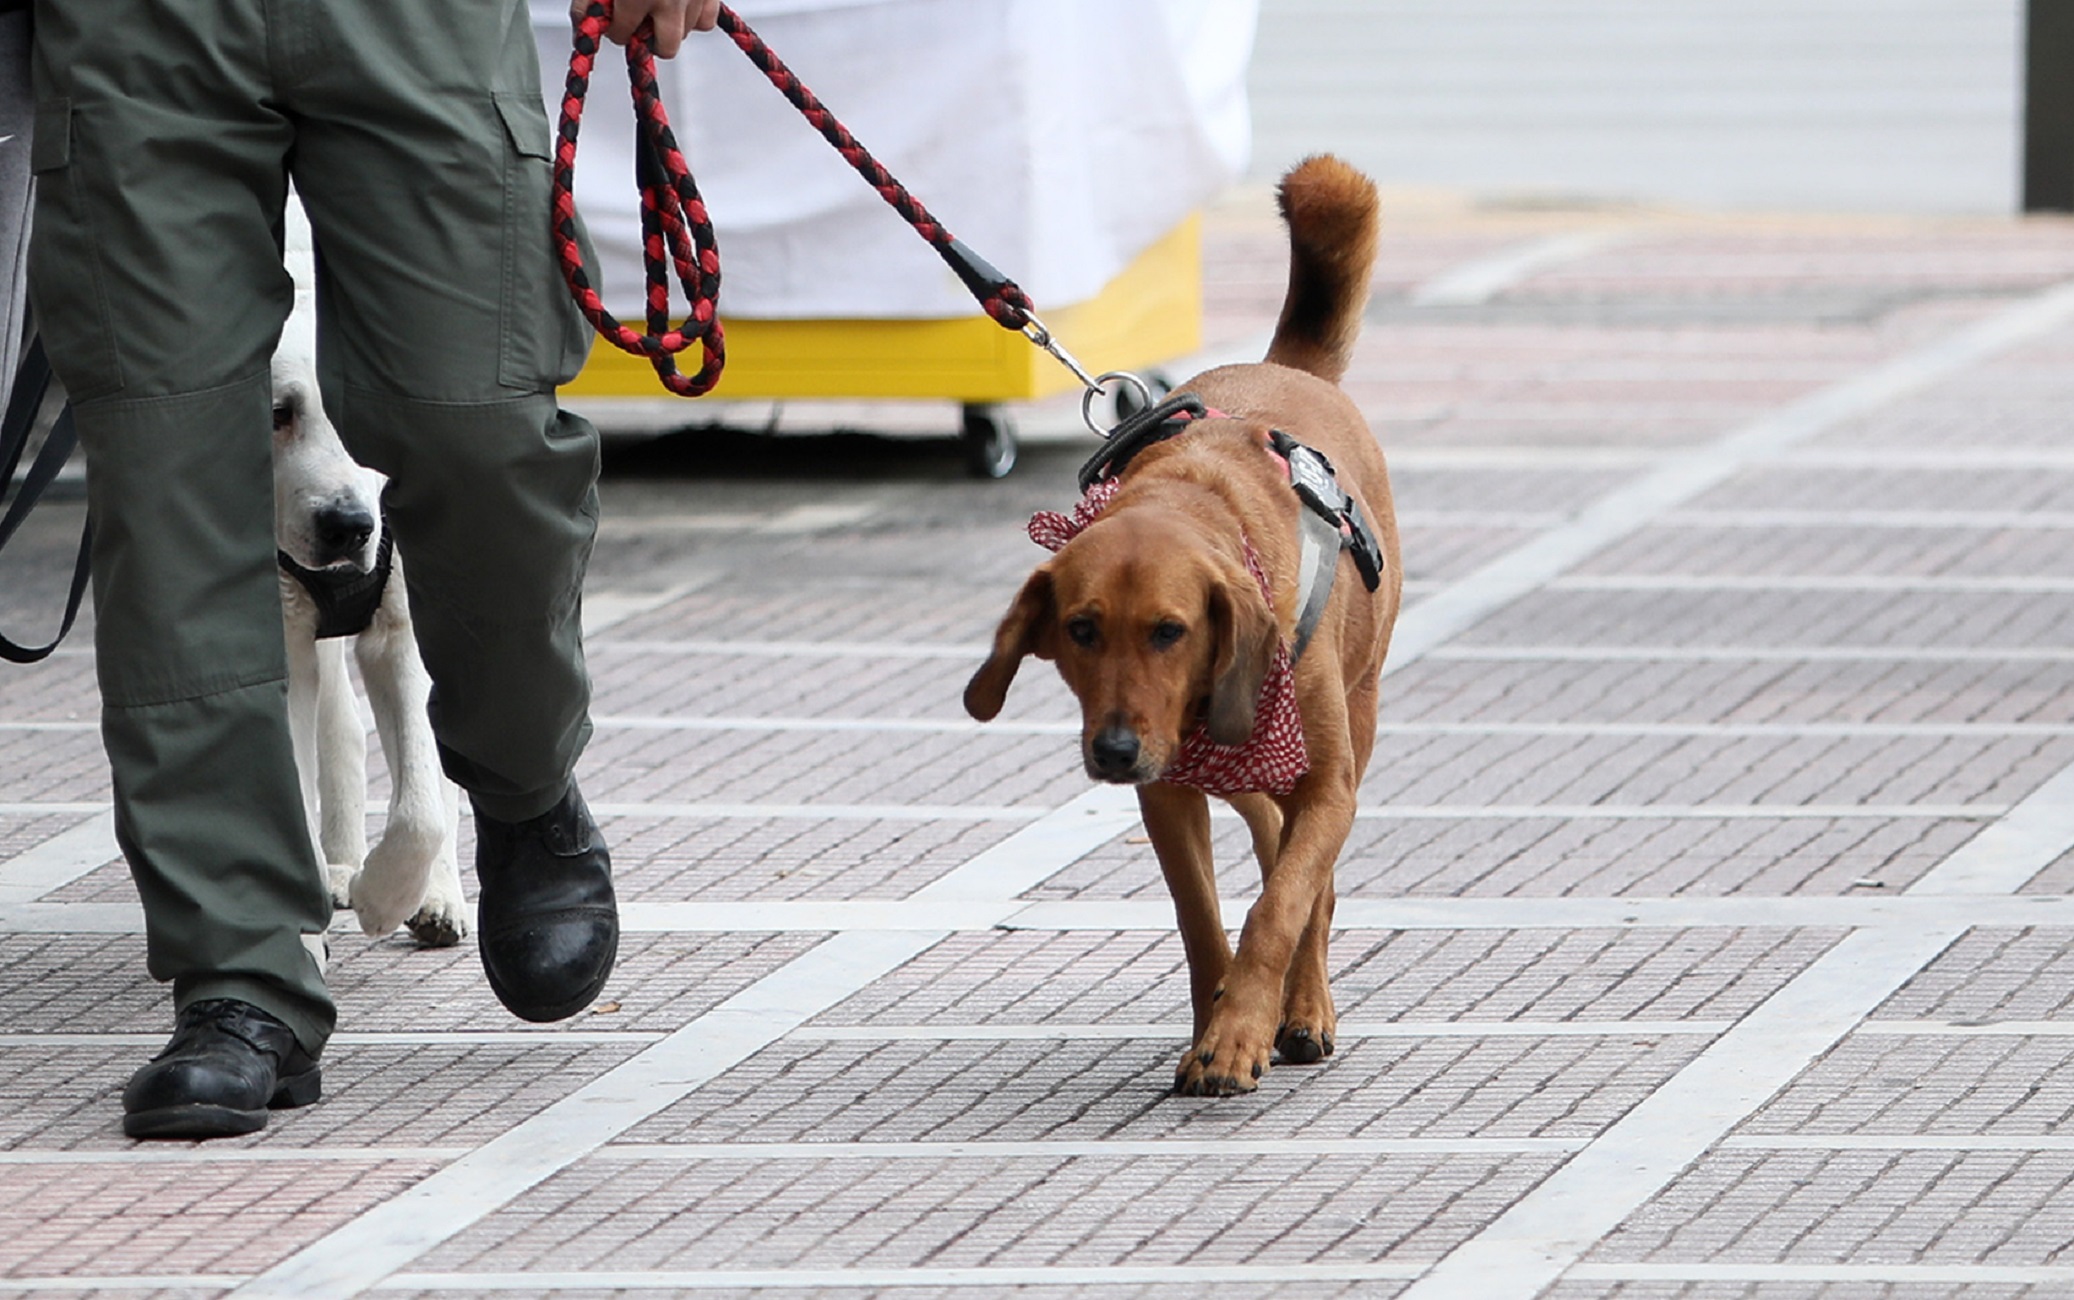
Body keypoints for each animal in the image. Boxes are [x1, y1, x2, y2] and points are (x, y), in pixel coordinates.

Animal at [273, 201, 464, 945]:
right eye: (278, 413)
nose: (350, 526)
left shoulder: (404, 630)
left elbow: (422, 806)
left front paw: (389, 896)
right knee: (342, 727)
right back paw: (336, 869)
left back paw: (436, 898)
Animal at [962, 160, 1402, 1094]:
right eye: (1081, 629)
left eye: (1170, 631)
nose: (1115, 750)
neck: (1197, 501)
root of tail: (1285, 368)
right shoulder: (1166, 790)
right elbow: (1204, 919)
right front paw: (1220, 1023)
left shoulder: (1323, 782)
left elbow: (1281, 907)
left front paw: (1242, 1032)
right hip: (1229, 762)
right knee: (1272, 838)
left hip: (1352, 715)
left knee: (1310, 881)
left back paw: (1305, 1009)